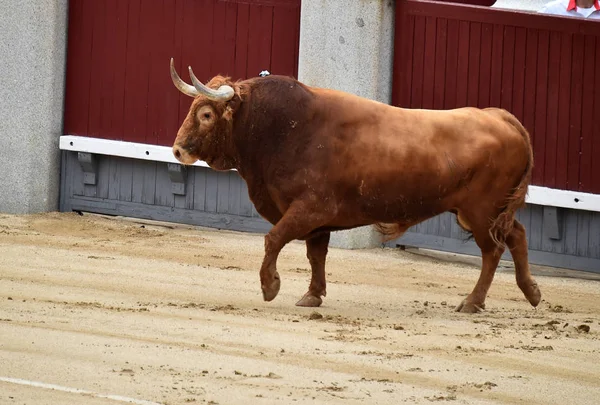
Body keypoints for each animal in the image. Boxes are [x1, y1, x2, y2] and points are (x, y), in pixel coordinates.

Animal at [168, 59, 540, 312]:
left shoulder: (311, 208)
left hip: (480, 211)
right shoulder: (316, 221)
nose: (178, 150)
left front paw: (270, 287)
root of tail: (501, 117)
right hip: (489, 211)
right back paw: (532, 292)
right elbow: (315, 254)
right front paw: (312, 295)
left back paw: (473, 301)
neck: (283, 128)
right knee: (518, 234)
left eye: (205, 114)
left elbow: (273, 239)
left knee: (493, 250)